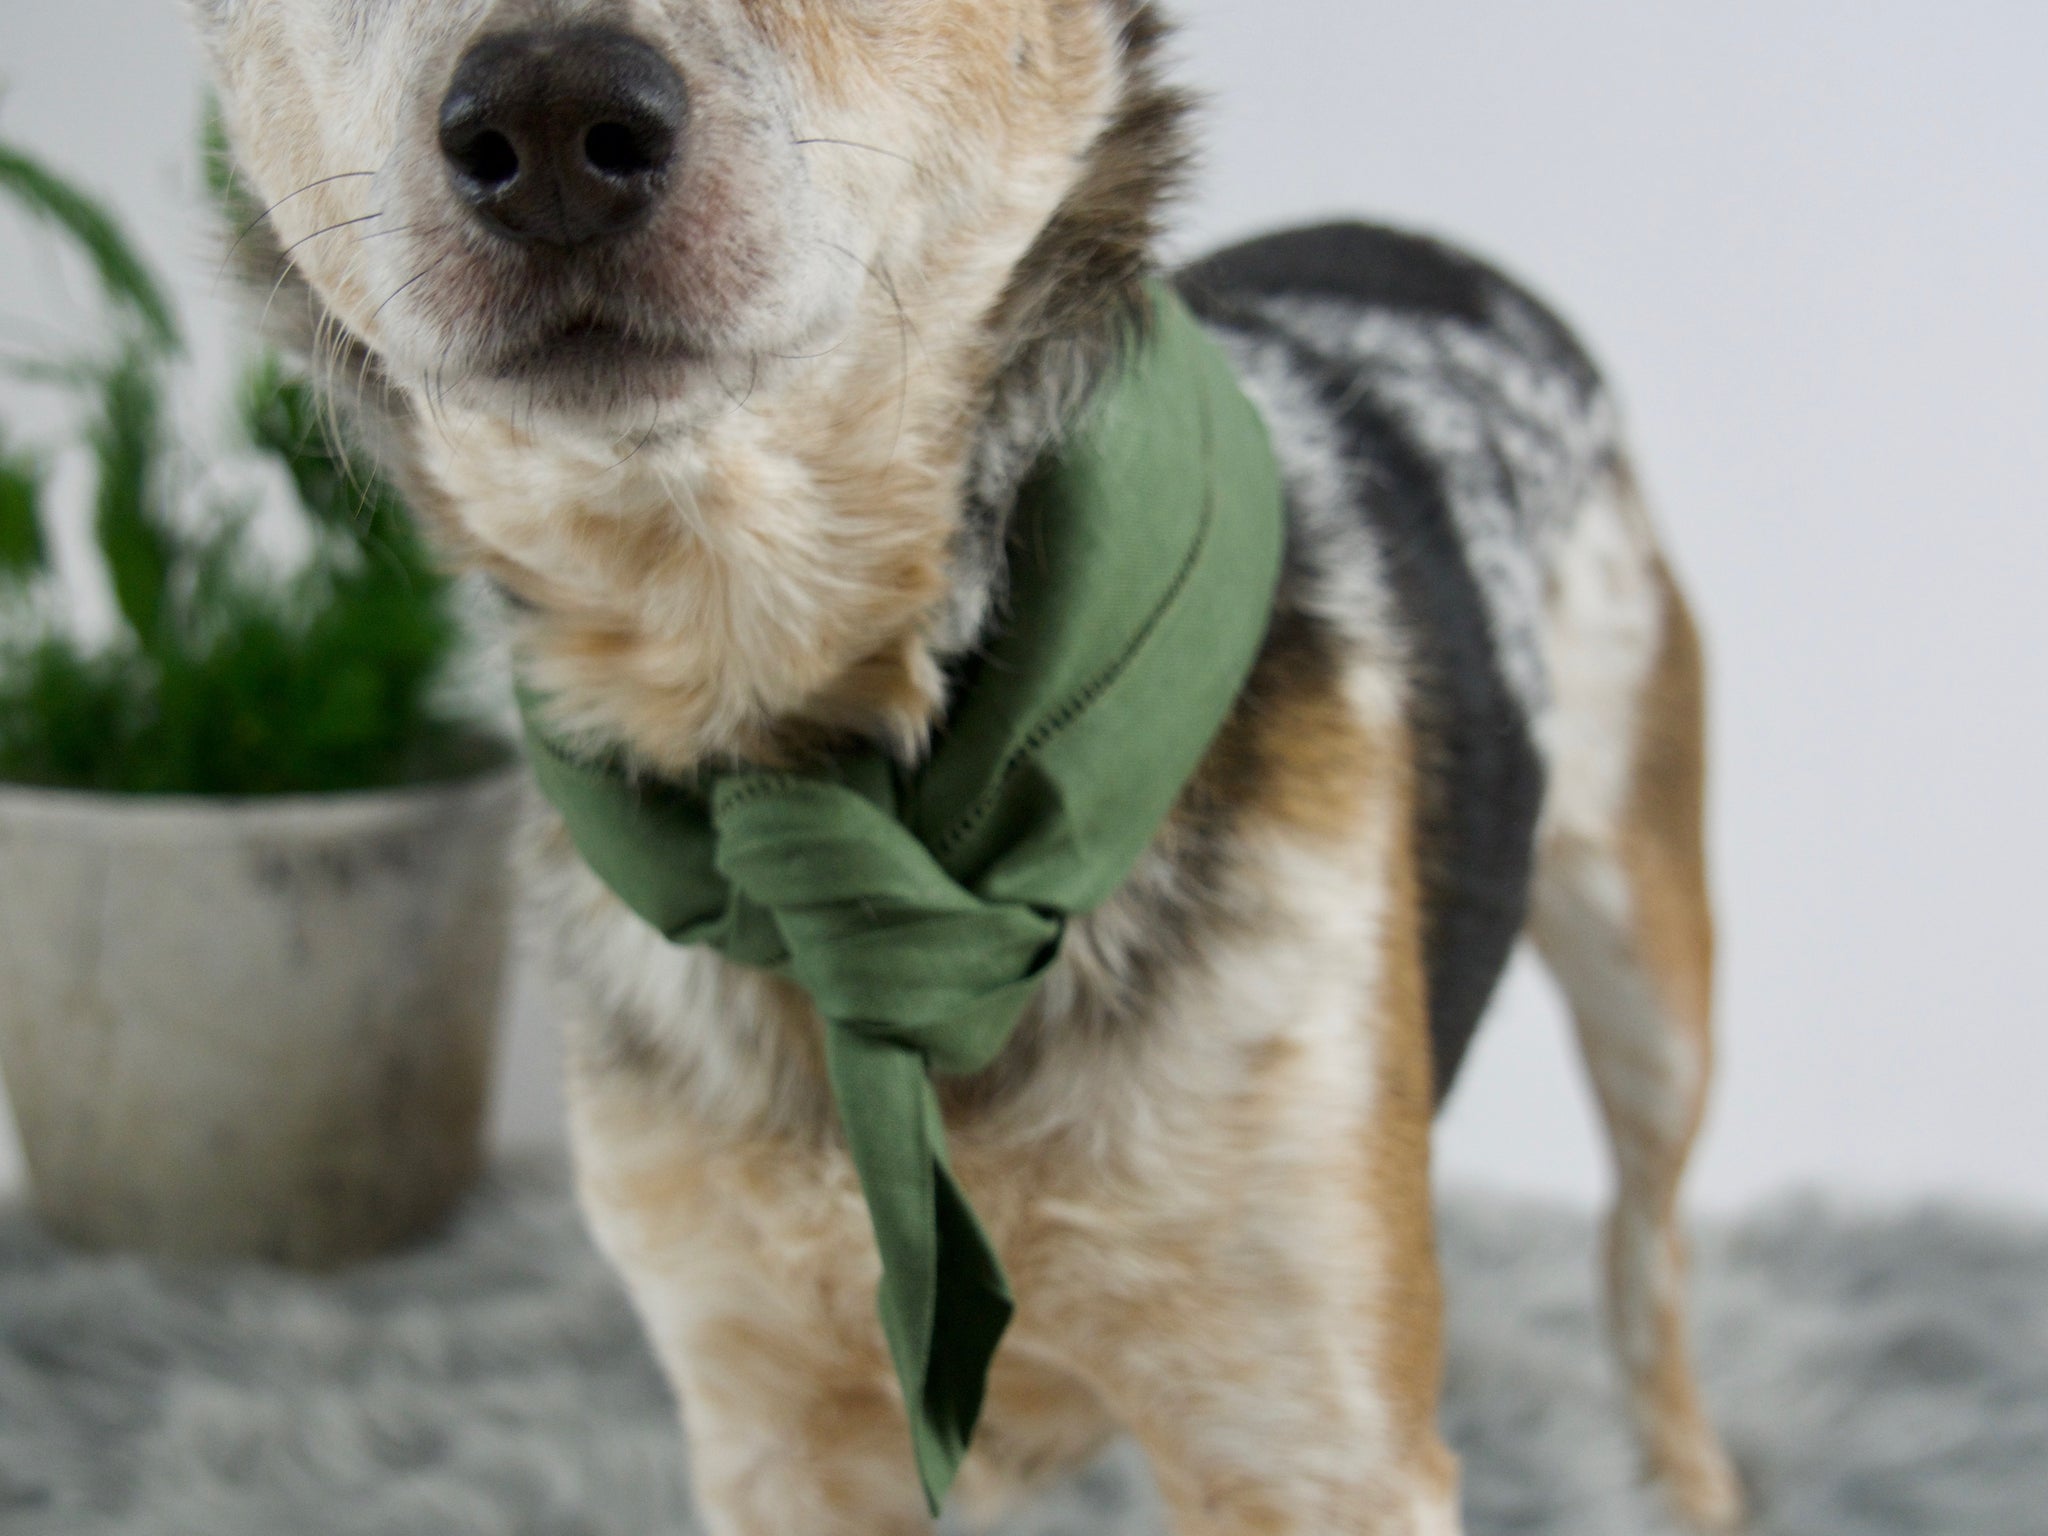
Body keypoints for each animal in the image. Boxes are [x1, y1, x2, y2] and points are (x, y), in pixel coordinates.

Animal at [184, 6, 1744, 1531]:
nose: (554, 116)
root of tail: (1421, 251)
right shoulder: (766, 1426)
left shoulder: (1311, 1443)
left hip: (1649, 973)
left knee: (1644, 1261)